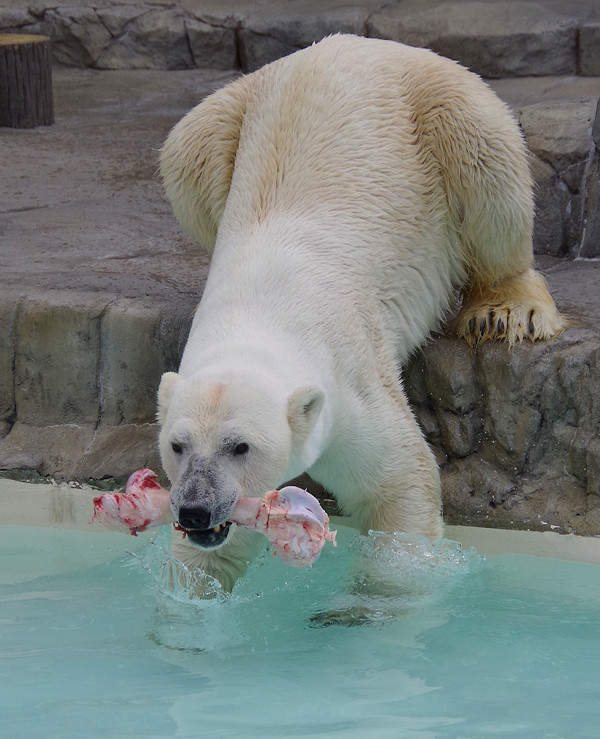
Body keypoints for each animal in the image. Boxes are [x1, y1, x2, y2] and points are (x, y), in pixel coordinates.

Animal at [156, 34, 568, 592]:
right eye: (177, 445)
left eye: (240, 446)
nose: (196, 510)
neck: (263, 304)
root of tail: (356, 42)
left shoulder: (352, 385)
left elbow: (399, 483)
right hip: (233, 113)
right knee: (189, 148)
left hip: (439, 102)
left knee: (486, 163)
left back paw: (506, 309)